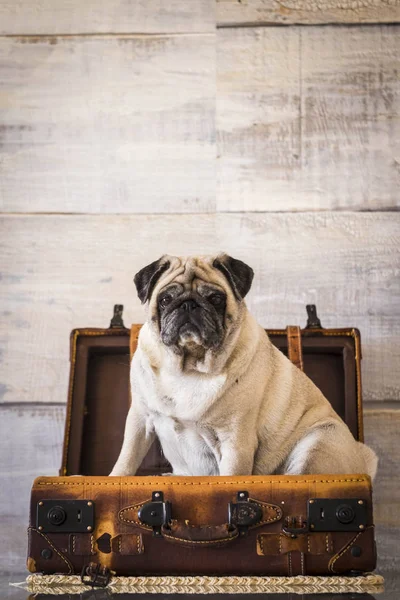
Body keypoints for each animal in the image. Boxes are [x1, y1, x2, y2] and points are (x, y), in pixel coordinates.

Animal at [110, 253, 378, 478]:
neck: (189, 367)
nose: (188, 304)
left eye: (216, 298)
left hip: (318, 441)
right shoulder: (139, 419)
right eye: (166, 299)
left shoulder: (235, 443)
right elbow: (127, 458)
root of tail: (362, 461)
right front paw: (115, 479)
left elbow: (231, 478)